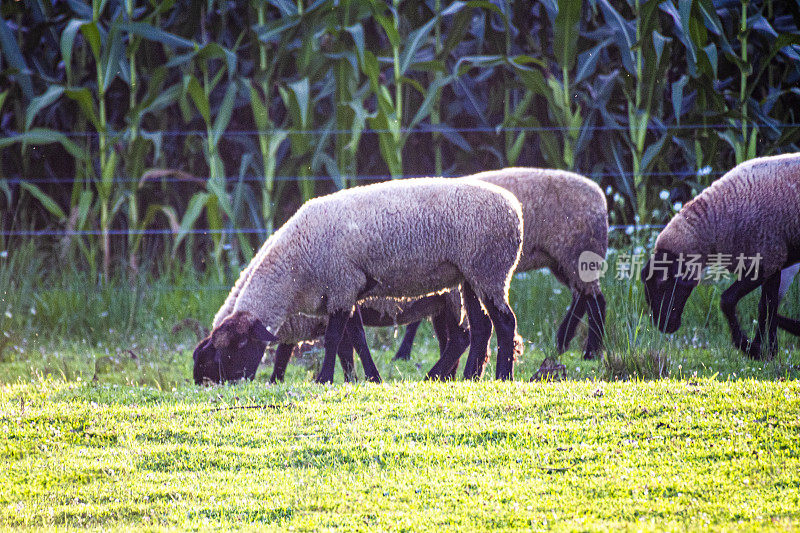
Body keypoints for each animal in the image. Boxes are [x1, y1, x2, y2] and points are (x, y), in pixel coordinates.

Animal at [404, 166, 608, 378]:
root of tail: (599, 195)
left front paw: (404, 354)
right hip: (562, 260)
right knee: (584, 297)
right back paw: (563, 342)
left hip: (576, 252)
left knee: (594, 300)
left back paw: (588, 352)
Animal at [640, 152, 800, 358]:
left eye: (663, 283)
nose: (663, 326)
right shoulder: (774, 260)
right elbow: (767, 306)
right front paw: (767, 349)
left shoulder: (769, 258)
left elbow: (731, 301)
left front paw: (751, 348)